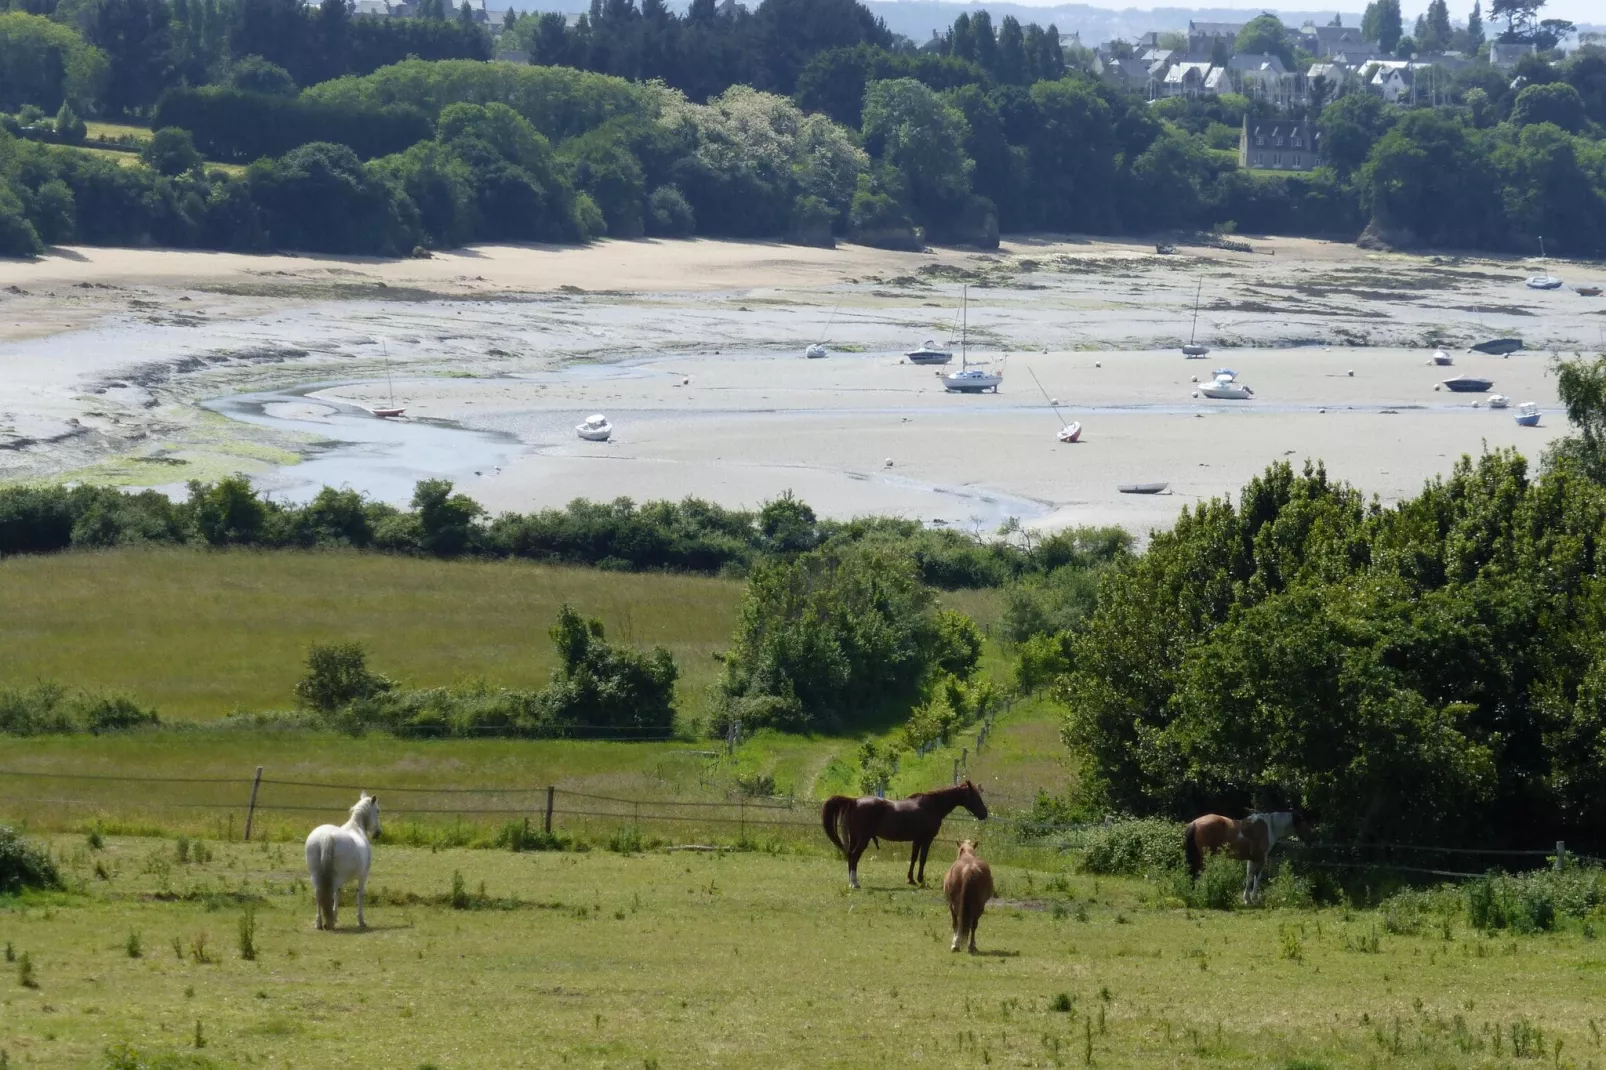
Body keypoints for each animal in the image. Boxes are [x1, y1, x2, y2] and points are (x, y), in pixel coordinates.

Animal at [301, 787, 379, 931]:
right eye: (378, 810)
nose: (378, 833)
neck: (356, 828)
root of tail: (326, 836)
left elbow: (337, 894)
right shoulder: (363, 875)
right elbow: (359, 895)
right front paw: (361, 921)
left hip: (316, 876)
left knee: (319, 895)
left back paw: (319, 923)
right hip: (336, 877)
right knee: (331, 893)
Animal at [822, 774, 982, 880]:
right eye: (975, 796)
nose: (984, 813)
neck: (932, 806)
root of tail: (854, 801)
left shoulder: (917, 840)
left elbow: (913, 858)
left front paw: (911, 878)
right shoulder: (926, 839)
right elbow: (922, 859)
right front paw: (920, 879)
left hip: (855, 837)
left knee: (850, 856)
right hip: (863, 839)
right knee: (855, 856)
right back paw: (855, 883)